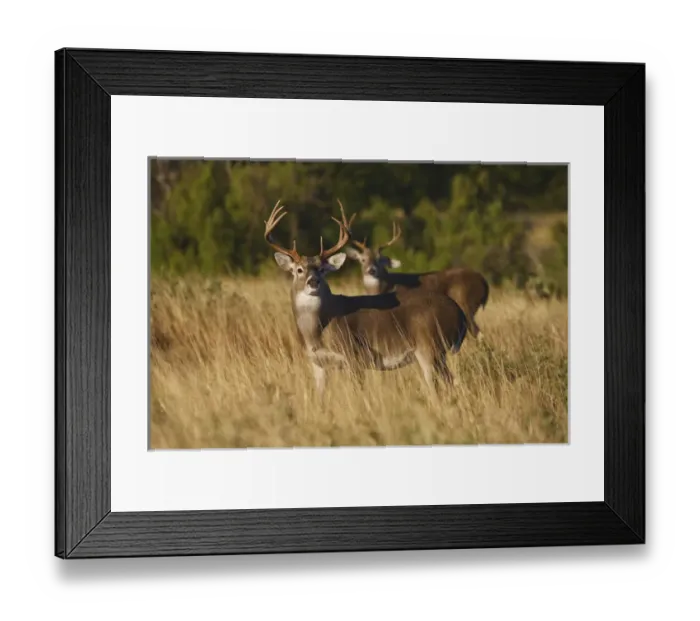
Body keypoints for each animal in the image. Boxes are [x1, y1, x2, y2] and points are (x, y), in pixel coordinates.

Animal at [264, 200, 469, 399]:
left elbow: (358, 392)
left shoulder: (354, 356)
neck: (317, 331)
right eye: (299, 270)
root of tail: (459, 313)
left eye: (322, 269)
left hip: (430, 346)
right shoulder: (317, 363)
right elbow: (319, 395)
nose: (313, 281)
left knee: (444, 385)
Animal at [340, 204, 490, 342]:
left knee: (478, 333)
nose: (371, 270)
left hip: (466, 304)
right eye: (362, 259)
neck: (381, 290)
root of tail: (483, 281)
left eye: (379, 259)